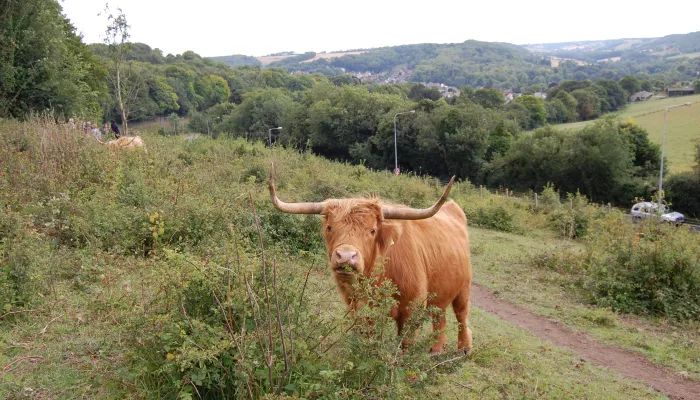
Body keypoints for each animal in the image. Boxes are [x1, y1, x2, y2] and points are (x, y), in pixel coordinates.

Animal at [268, 165, 473, 355]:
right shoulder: (358, 308)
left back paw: (464, 349)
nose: (346, 256)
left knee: (461, 316)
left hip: (464, 288)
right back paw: (436, 350)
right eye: (329, 227)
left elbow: (405, 344)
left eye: (372, 230)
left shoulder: (412, 306)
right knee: (440, 317)